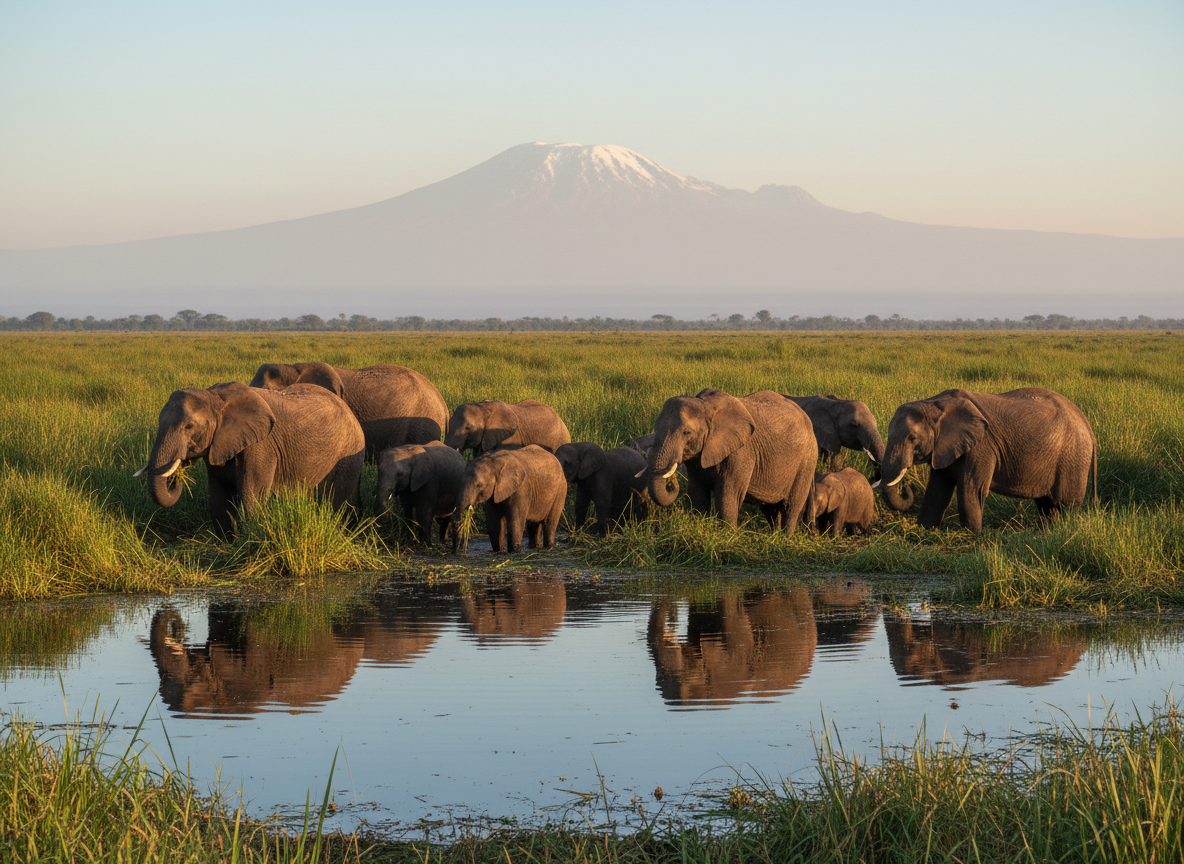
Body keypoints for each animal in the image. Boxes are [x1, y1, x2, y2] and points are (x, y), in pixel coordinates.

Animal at [136, 382, 364, 535]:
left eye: (189, 426)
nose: (178, 478)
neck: (215, 397)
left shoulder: (261, 446)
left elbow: (250, 496)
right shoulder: (219, 444)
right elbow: (218, 499)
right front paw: (227, 545)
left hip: (348, 454)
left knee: (335, 503)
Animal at [641, 389, 818, 532]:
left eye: (686, 433)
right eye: (655, 429)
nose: (672, 481)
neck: (705, 406)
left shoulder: (741, 453)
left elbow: (727, 497)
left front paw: (727, 537)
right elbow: (698, 494)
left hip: (806, 460)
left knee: (791, 506)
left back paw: (785, 538)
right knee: (771, 510)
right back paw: (774, 537)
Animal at [875, 387, 1098, 533]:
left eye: (912, 438)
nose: (907, 487)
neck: (933, 404)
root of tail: (1085, 421)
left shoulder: (981, 446)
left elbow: (971, 490)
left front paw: (972, 535)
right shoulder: (944, 446)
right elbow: (937, 490)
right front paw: (925, 530)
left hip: (1073, 456)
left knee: (1066, 503)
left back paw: (1066, 529)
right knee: (1046, 504)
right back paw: (1048, 532)